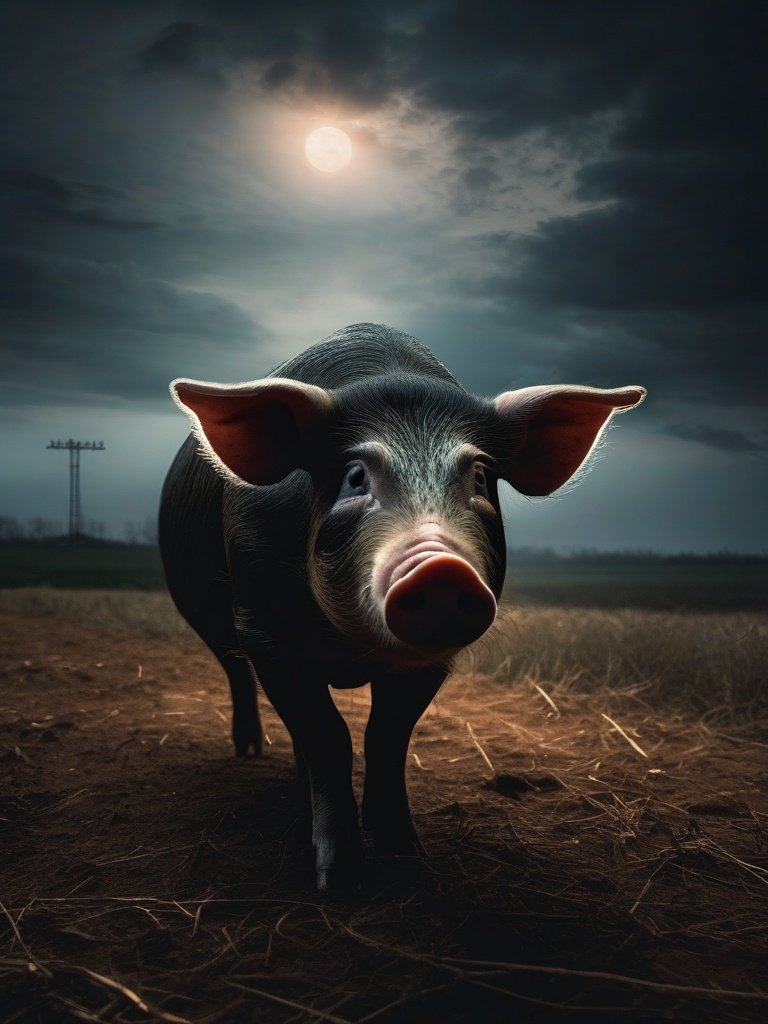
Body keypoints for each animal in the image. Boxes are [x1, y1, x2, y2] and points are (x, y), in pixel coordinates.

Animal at [159, 323, 644, 890]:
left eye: (480, 477)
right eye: (354, 476)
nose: (441, 567)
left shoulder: (431, 661)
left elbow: (385, 737)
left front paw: (406, 856)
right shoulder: (267, 632)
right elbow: (328, 736)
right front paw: (340, 881)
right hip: (212, 621)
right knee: (235, 673)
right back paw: (251, 751)